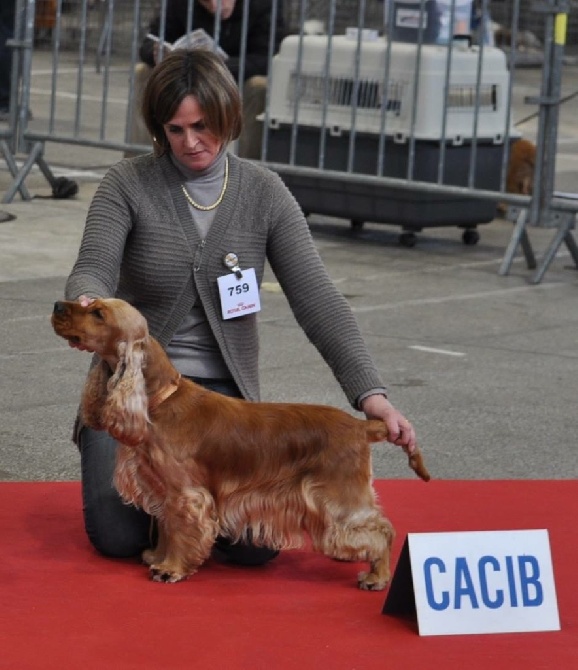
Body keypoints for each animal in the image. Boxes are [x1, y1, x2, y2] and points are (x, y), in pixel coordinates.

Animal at [51, 300, 428, 588]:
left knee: (382, 529)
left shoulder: (187, 494)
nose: (57, 305)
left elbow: (180, 532)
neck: (158, 400)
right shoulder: (166, 493)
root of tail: (360, 426)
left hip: (337, 499)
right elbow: (168, 527)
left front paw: (171, 568)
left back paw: (376, 576)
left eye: (98, 313)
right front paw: (157, 557)